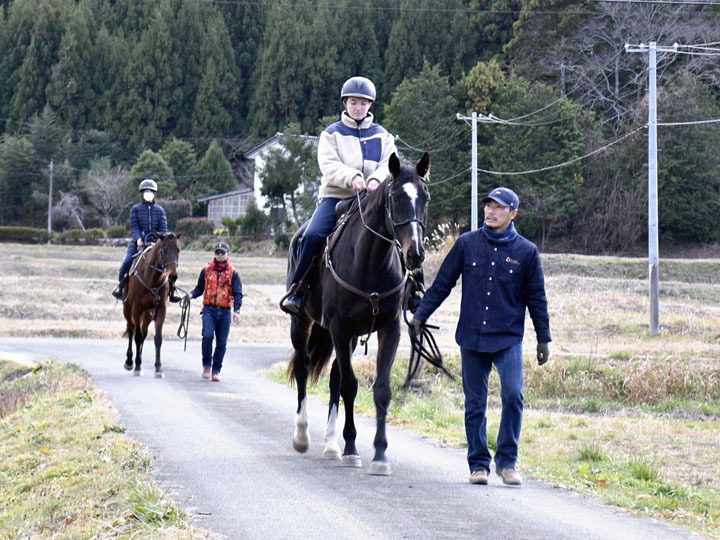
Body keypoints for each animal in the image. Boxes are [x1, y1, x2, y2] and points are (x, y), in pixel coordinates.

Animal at [123, 233, 183, 380]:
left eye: (178, 249)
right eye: (164, 249)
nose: (173, 276)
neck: (152, 279)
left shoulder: (161, 309)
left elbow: (158, 339)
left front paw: (158, 368)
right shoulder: (136, 309)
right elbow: (137, 337)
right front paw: (137, 367)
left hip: (148, 314)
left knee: (143, 332)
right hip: (128, 309)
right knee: (131, 330)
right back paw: (130, 361)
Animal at [286, 152, 430, 476]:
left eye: (425, 197)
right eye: (395, 197)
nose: (415, 254)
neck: (371, 262)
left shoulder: (388, 329)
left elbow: (380, 389)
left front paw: (380, 454)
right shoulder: (340, 327)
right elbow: (350, 387)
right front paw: (351, 449)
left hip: (345, 336)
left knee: (334, 377)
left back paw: (330, 444)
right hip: (302, 322)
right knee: (303, 367)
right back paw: (302, 435)